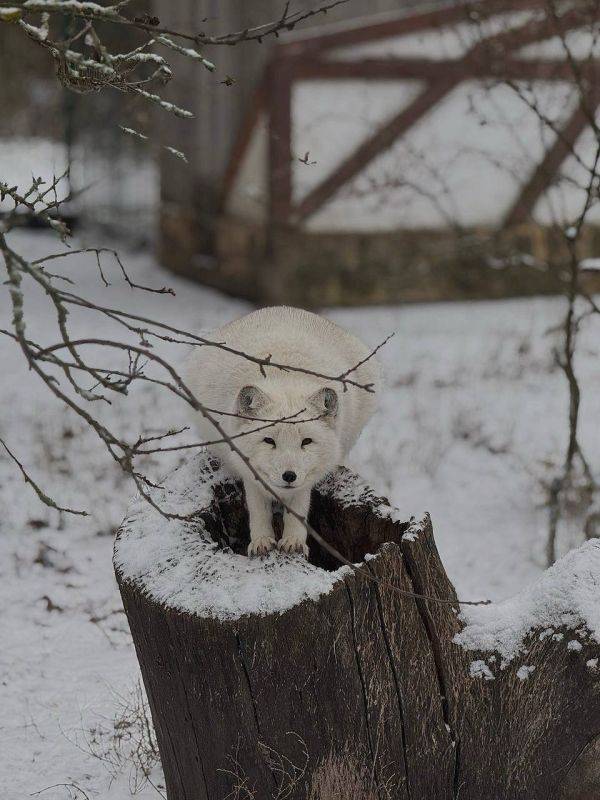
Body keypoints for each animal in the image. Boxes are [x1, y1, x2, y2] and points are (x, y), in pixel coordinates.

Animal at [185, 304, 382, 556]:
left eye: (306, 441)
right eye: (269, 440)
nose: (289, 475)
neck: (285, 378)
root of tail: (282, 308)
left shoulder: (305, 481)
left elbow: (299, 506)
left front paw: (294, 541)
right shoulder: (248, 469)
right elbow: (258, 509)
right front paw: (261, 541)